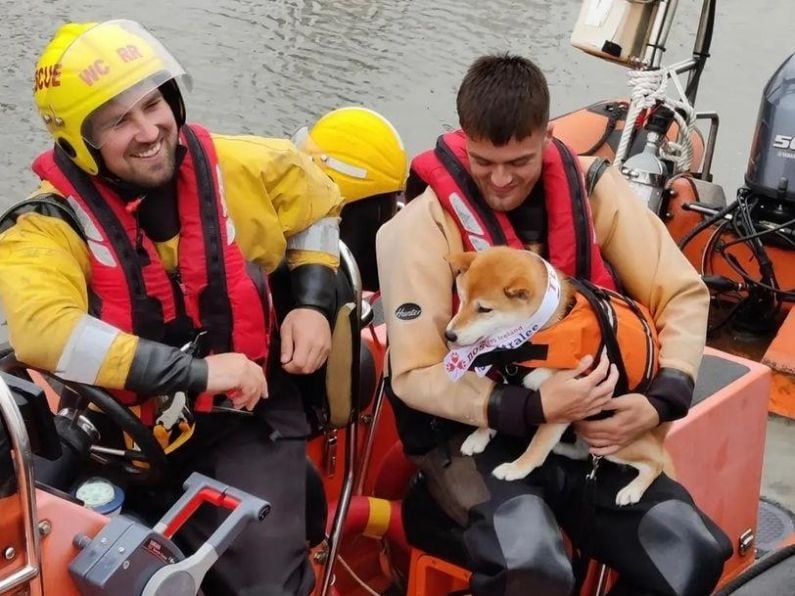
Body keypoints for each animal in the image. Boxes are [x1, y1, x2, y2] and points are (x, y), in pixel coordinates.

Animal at [444, 247, 668, 508]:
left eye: (484, 309)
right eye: (462, 299)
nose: (449, 335)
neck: (532, 336)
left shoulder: (565, 403)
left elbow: (537, 446)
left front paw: (516, 468)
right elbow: (494, 411)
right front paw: (479, 436)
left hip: (613, 442)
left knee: (655, 462)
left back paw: (632, 490)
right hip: (586, 427)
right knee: (582, 452)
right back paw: (561, 448)